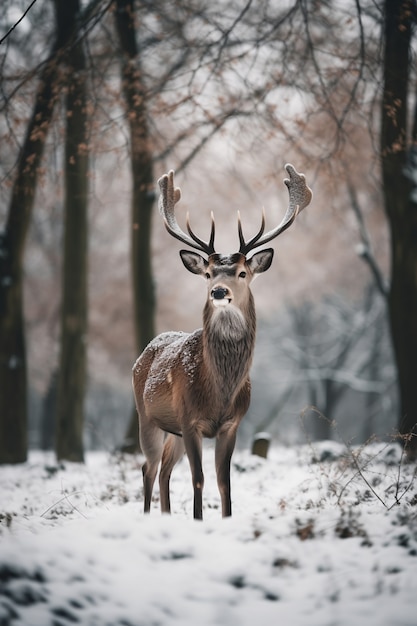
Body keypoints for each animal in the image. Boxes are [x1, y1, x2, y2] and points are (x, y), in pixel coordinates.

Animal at [132, 163, 310, 520]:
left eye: (242, 272)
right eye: (208, 273)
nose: (218, 291)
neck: (220, 392)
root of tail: (142, 355)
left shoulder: (232, 424)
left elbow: (224, 481)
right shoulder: (190, 421)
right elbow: (198, 479)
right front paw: (198, 520)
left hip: (171, 429)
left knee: (163, 470)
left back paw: (166, 516)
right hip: (147, 417)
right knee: (148, 467)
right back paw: (147, 517)